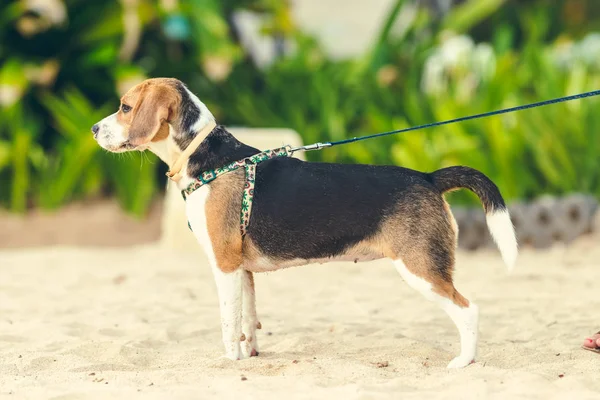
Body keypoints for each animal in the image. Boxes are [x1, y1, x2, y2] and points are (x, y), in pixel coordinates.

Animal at [91, 77, 516, 368]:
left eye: (125, 107)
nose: (94, 129)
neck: (206, 156)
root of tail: (428, 177)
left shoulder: (224, 265)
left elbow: (228, 323)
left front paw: (230, 361)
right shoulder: (243, 269)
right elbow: (248, 319)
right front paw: (250, 354)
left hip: (421, 268)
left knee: (468, 310)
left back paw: (463, 362)